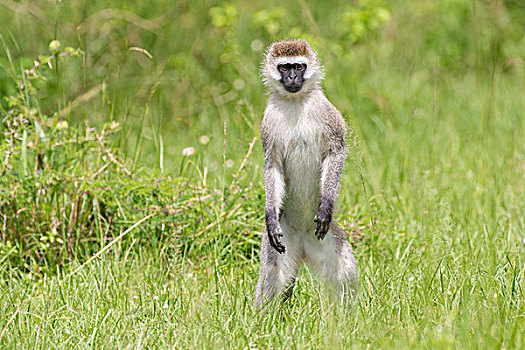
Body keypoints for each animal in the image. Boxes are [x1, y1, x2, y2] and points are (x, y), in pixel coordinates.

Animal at [254, 38, 356, 308]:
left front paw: (326, 205)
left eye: (299, 66)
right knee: (273, 271)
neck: (295, 101)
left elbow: (336, 151)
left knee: (343, 266)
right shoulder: (268, 122)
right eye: (284, 67)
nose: (292, 78)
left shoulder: (326, 110)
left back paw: (353, 313)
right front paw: (269, 214)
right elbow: (273, 166)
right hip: (284, 239)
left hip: (323, 238)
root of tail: (301, 240)